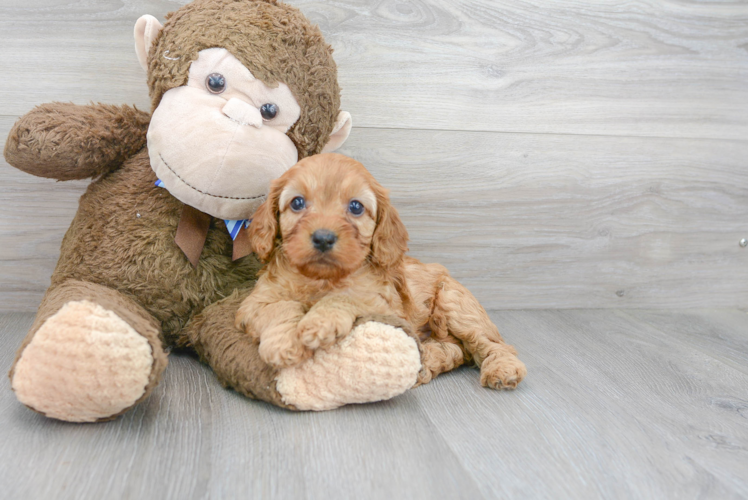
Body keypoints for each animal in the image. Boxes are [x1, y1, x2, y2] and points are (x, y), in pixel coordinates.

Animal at [235, 154, 524, 388]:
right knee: (455, 350)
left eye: (355, 207)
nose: (323, 238)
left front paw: (319, 323)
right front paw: (283, 344)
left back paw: (502, 369)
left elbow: (346, 296)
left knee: (490, 344)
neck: (322, 279)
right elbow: (280, 307)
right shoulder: (254, 303)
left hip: (455, 305)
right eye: (297, 203)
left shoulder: (385, 306)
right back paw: (426, 363)